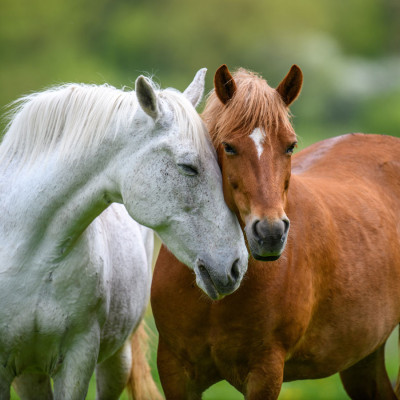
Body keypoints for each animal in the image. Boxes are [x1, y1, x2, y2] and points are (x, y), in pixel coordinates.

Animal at [0, 69, 248, 400]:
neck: (29, 254)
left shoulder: (78, 359)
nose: (237, 266)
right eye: (188, 167)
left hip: (116, 361)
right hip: (30, 373)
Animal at [152, 64, 400, 398]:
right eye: (228, 146)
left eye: (290, 145)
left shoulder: (265, 372)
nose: (269, 233)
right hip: (363, 359)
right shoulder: (175, 370)